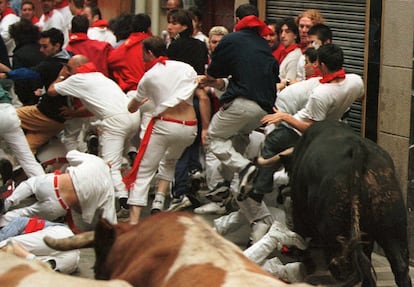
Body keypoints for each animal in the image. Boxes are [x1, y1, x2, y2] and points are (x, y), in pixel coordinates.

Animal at [286, 121, 412, 287]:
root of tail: (359, 150)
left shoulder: (299, 211)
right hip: (393, 225)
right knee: (399, 267)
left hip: (335, 232)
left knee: (344, 268)